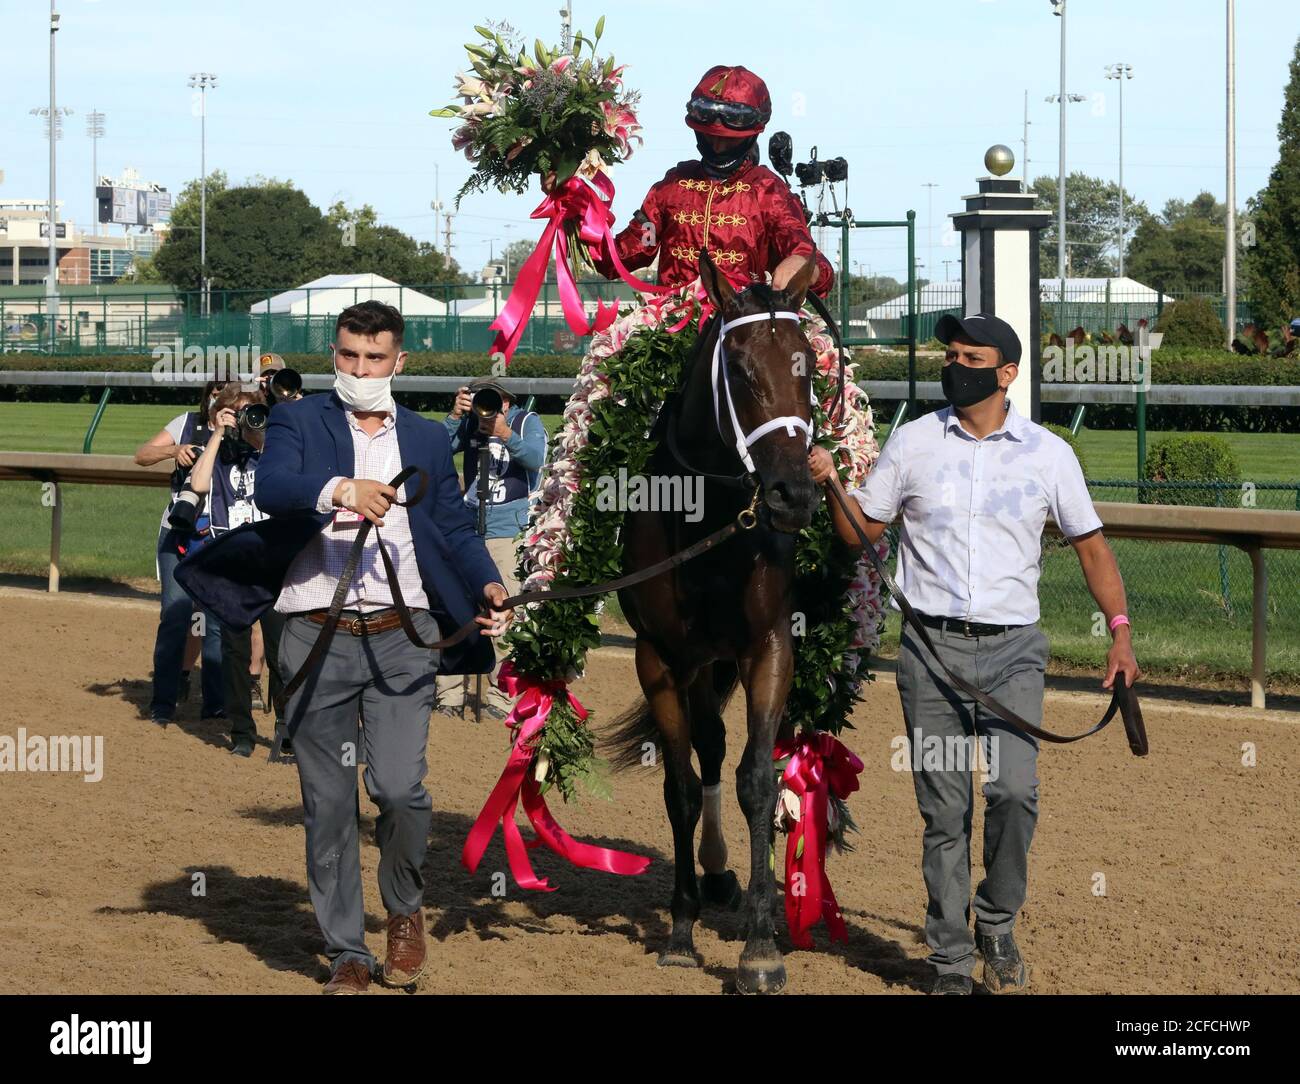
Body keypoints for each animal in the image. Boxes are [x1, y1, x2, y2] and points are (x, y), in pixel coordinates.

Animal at [608, 249, 821, 993]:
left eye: (808, 371)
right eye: (741, 369)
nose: (793, 495)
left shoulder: (768, 646)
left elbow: (759, 778)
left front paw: (761, 946)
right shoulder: (660, 657)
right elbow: (678, 787)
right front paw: (679, 926)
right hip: (698, 662)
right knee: (706, 745)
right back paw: (713, 873)